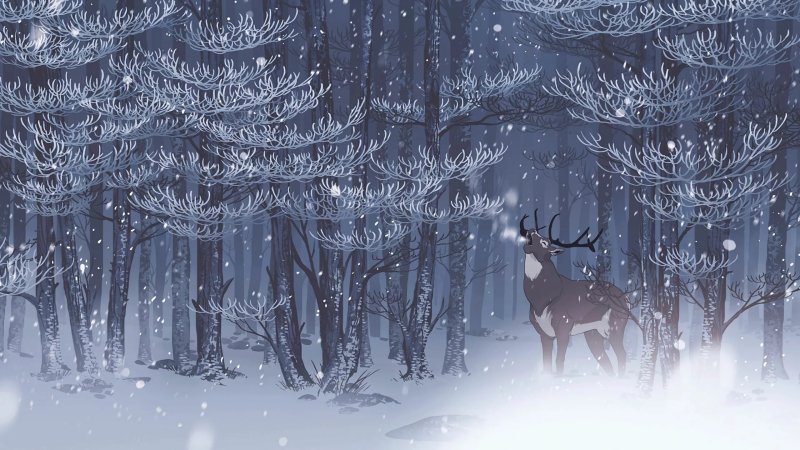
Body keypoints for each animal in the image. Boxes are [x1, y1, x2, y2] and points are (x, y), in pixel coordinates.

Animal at [520, 209, 629, 377]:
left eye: (545, 242)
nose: (531, 230)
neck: (542, 300)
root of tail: (626, 299)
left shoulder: (564, 325)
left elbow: (559, 361)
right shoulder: (544, 333)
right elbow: (546, 363)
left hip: (616, 325)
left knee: (622, 354)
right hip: (593, 333)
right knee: (605, 360)